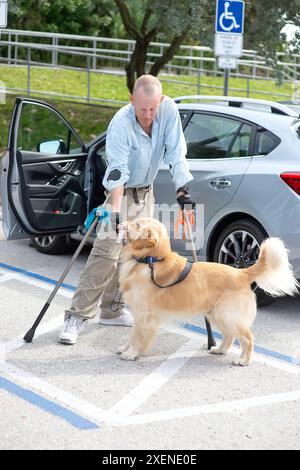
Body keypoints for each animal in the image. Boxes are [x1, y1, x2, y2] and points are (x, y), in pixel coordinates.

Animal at [118, 218, 298, 368]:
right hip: (217, 315)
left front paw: (131, 353)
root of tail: (242, 273)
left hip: (228, 316)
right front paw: (126, 348)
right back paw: (219, 350)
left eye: (137, 225)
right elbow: (131, 334)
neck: (150, 261)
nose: (120, 223)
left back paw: (243, 360)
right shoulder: (139, 314)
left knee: (247, 338)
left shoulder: (144, 314)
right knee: (229, 336)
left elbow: (136, 336)